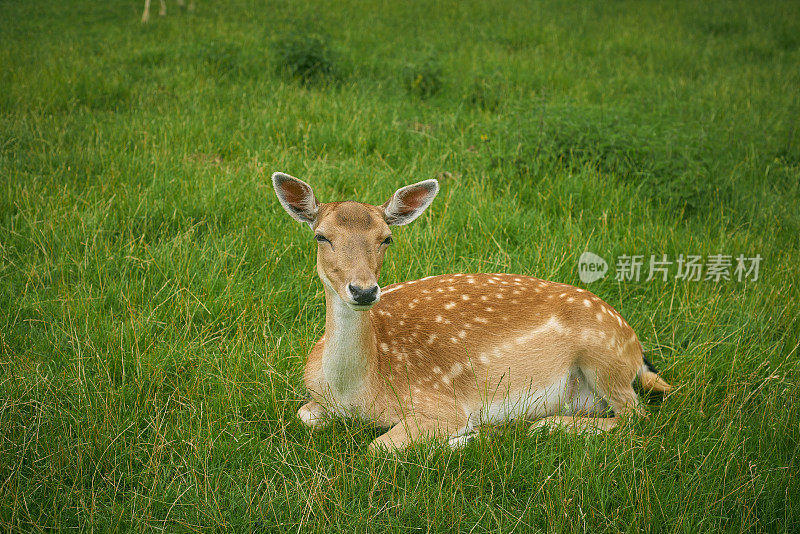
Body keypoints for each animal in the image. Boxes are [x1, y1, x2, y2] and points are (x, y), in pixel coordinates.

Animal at [272, 172, 672, 452]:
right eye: (321, 236)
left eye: (387, 238)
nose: (364, 290)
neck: (354, 391)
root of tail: (637, 350)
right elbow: (303, 414)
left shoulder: (442, 405)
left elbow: (378, 448)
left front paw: (470, 436)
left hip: (603, 355)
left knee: (636, 416)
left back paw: (543, 426)